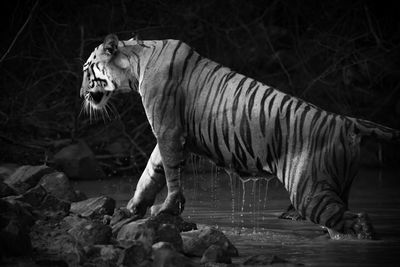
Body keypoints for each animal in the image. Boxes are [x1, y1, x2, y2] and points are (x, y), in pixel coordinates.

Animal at [80, 34, 400, 241]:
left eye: (87, 71)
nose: (81, 94)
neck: (135, 65)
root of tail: (345, 121)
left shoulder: (169, 130)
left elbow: (169, 175)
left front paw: (166, 209)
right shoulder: (167, 135)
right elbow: (150, 173)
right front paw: (131, 209)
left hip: (310, 191)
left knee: (359, 222)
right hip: (333, 188)